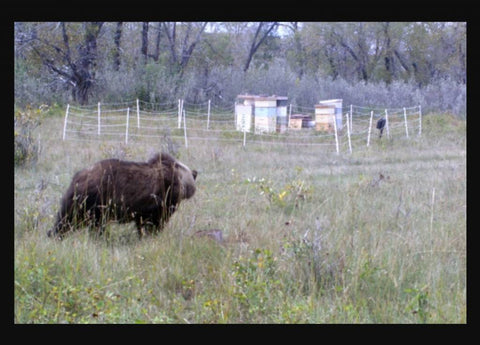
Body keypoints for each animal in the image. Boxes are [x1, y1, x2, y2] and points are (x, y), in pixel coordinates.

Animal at [47, 152, 198, 238]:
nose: (189, 192)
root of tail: (78, 177)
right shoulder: (159, 201)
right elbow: (154, 221)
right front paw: (152, 234)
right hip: (95, 200)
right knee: (76, 219)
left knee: (68, 218)